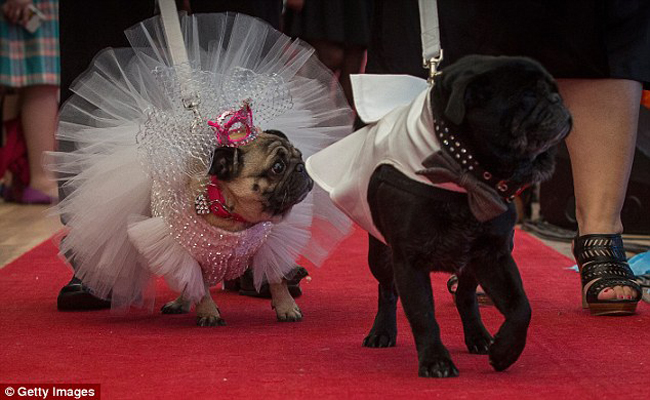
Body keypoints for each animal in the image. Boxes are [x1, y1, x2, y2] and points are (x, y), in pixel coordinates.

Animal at [153, 129, 314, 326]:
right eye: (278, 167)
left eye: (299, 155)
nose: (301, 167)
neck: (235, 216)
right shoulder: (198, 256)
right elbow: (199, 287)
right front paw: (208, 313)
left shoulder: (268, 250)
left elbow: (277, 279)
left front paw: (287, 307)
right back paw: (180, 304)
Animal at [306, 55, 572, 377]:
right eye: (528, 96)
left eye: (553, 90)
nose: (558, 100)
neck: (465, 173)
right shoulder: (409, 261)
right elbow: (423, 316)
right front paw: (435, 360)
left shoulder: (494, 256)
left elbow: (521, 306)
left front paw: (506, 350)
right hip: (381, 257)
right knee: (387, 291)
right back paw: (382, 332)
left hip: (471, 266)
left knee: (465, 296)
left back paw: (478, 336)